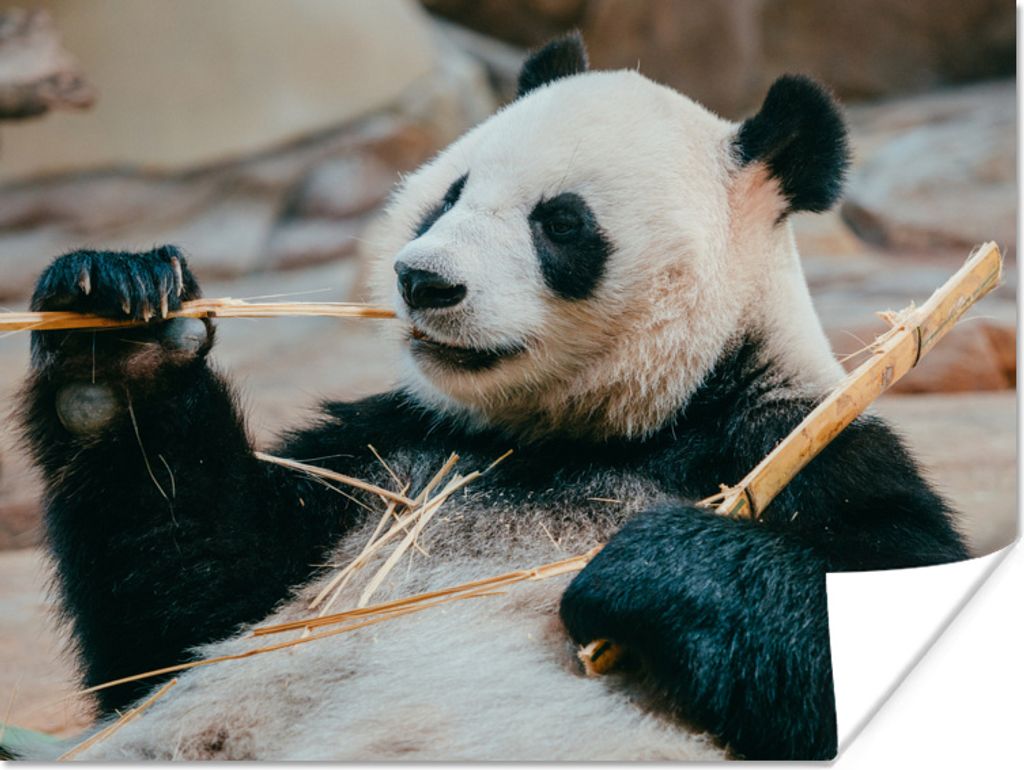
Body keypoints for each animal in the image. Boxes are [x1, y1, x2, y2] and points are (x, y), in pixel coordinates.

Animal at [12, 33, 967, 761]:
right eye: (448, 195)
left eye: (561, 222)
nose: (422, 281)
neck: (580, 432)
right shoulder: (392, 455)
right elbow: (178, 618)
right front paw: (117, 340)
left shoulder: (794, 444)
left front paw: (650, 566)